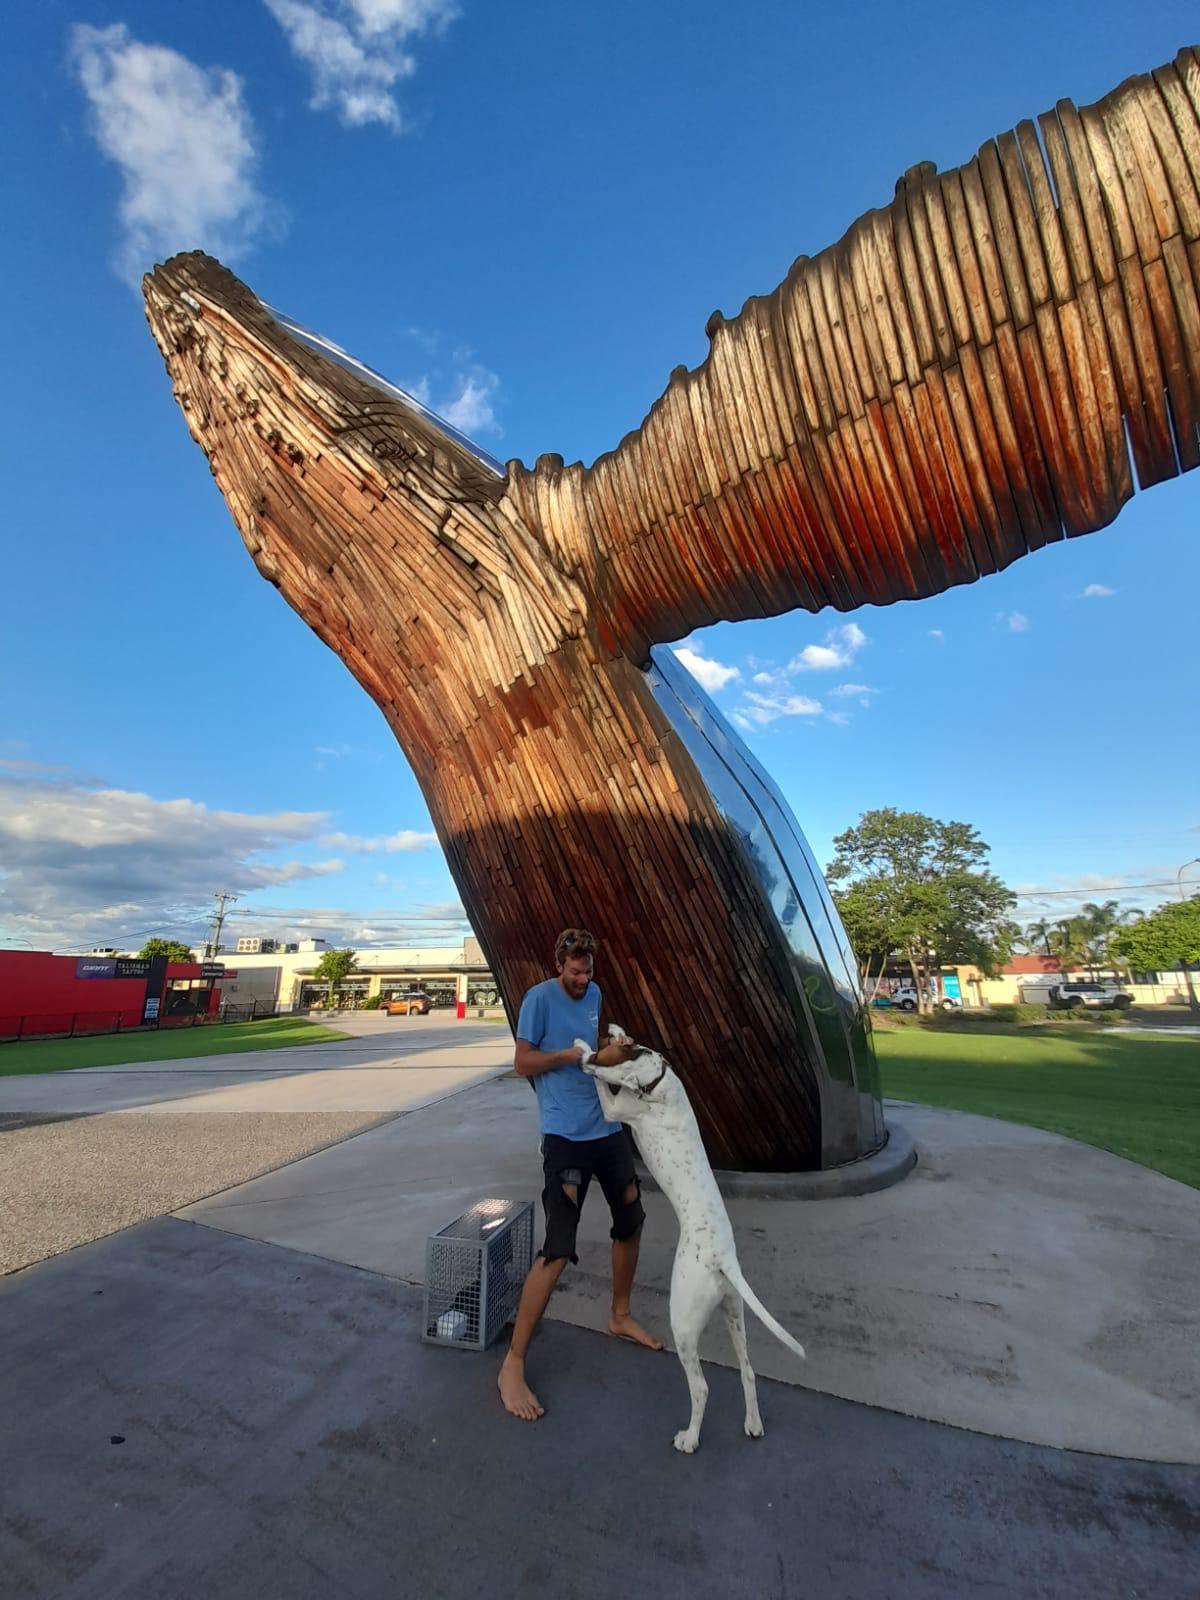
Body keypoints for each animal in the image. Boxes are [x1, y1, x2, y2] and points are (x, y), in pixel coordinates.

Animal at [576, 1024, 809, 1452]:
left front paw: (582, 1052)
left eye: (611, 1049)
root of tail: (723, 1260)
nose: (611, 1028)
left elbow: (602, 1088)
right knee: (748, 1370)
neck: (658, 1079)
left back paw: (690, 1438)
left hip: (682, 1322)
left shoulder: (617, 1109)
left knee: (700, 1387)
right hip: (734, 1312)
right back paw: (753, 1423)